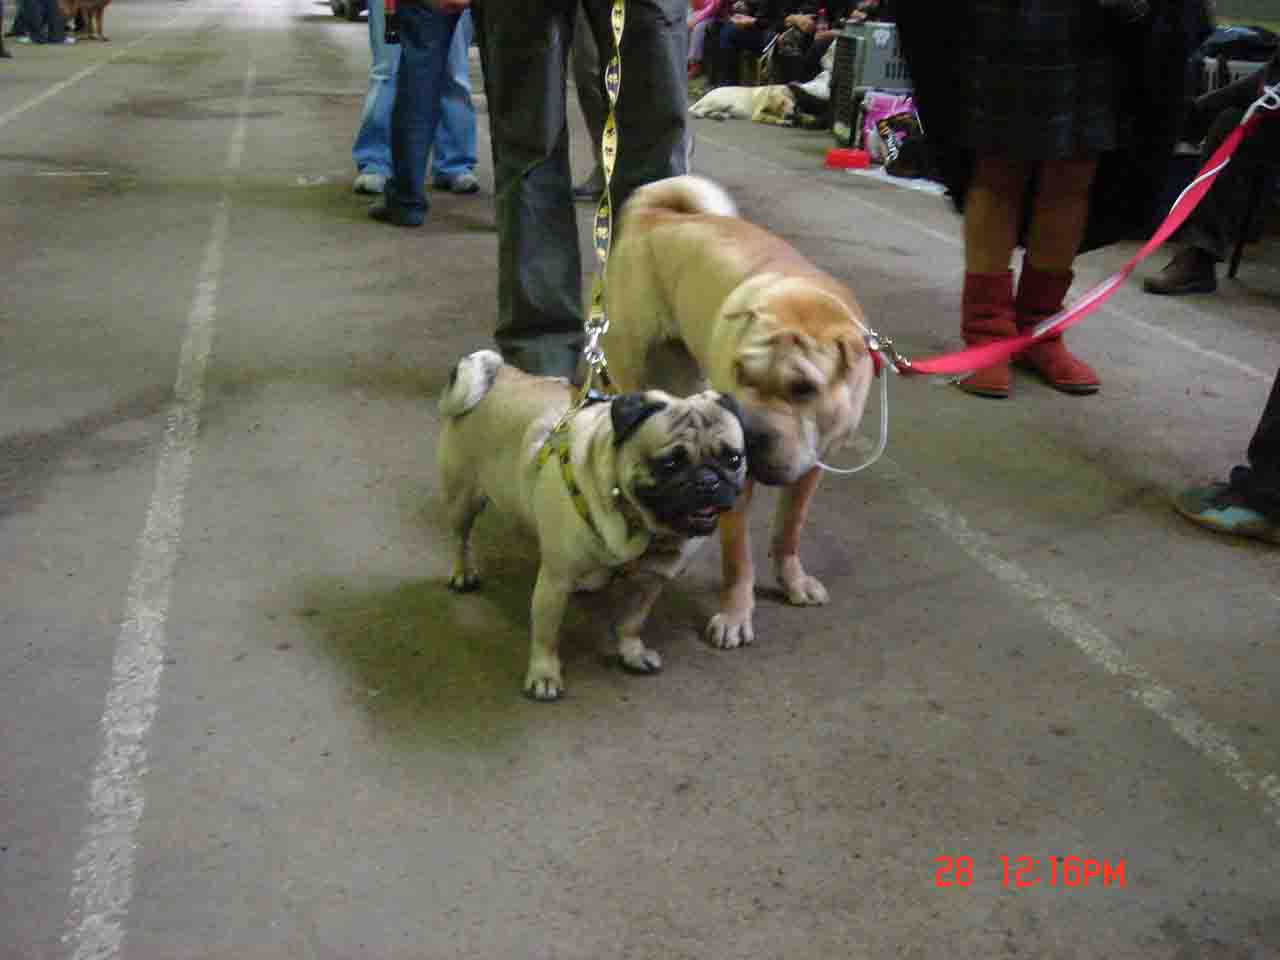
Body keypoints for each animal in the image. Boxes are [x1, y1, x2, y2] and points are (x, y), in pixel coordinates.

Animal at [437, 350, 748, 700]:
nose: (708, 480)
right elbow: (546, 635)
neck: (641, 527)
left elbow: (632, 622)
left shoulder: (649, 583)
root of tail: (500, 373)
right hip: (462, 500)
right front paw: (544, 674)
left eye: (734, 459)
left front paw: (632, 652)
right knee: (462, 539)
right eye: (669, 463)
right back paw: (463, 573)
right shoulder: (555, 582)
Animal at [601, 175, 876, 650]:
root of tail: (654, 214)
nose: (756, 433)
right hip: (628, 361)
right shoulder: (735, 483)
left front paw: (792, 579)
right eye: (741, 372)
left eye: (804, 389)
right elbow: (738, 559)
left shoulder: (812, 465)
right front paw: (735, 614)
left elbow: (789, 527)